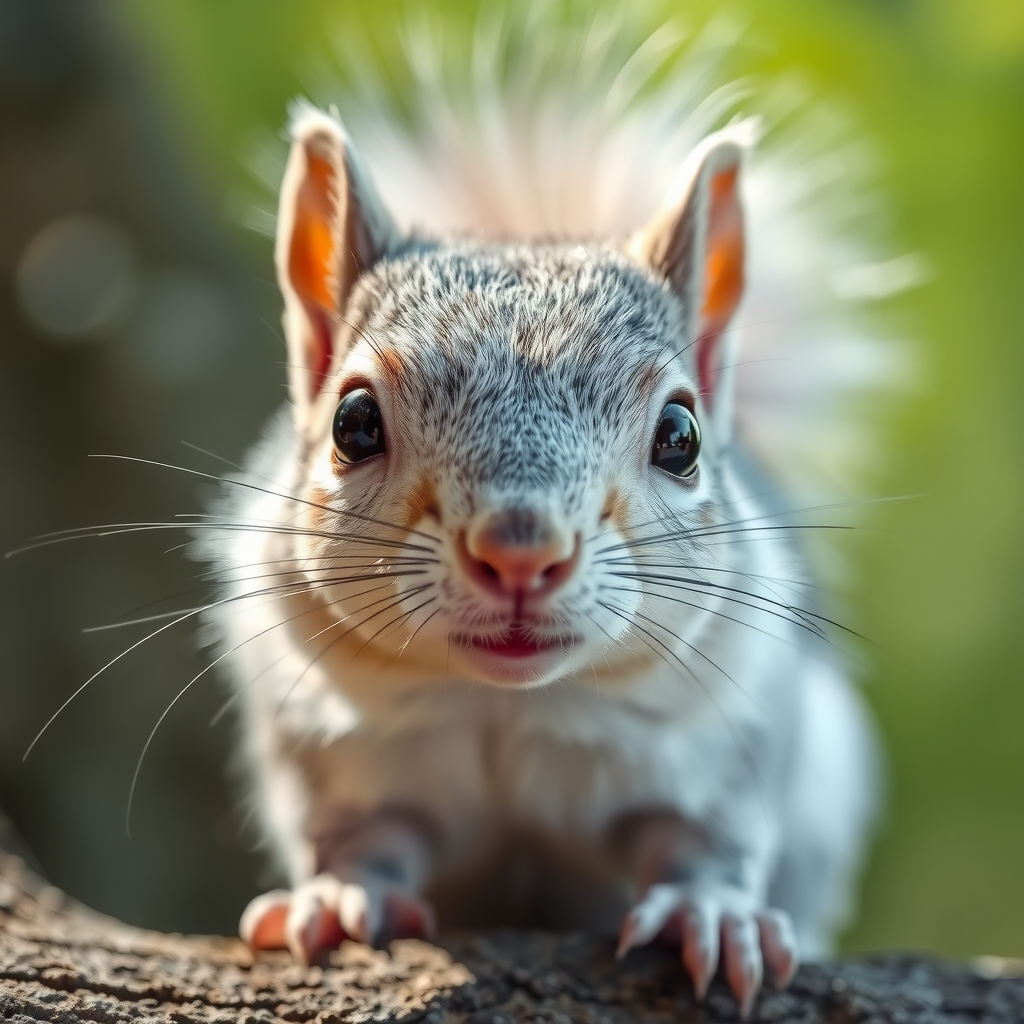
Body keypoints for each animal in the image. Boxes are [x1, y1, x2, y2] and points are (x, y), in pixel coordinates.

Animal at [201, 22, 888, 1015]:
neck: (509, 706)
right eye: (352, 422)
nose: (519, 554)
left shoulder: (732, 739)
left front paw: (713, 913)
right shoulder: (330, 748)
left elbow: (706, 839)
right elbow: (367, 834)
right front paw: (337, 895)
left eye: (680, 435)